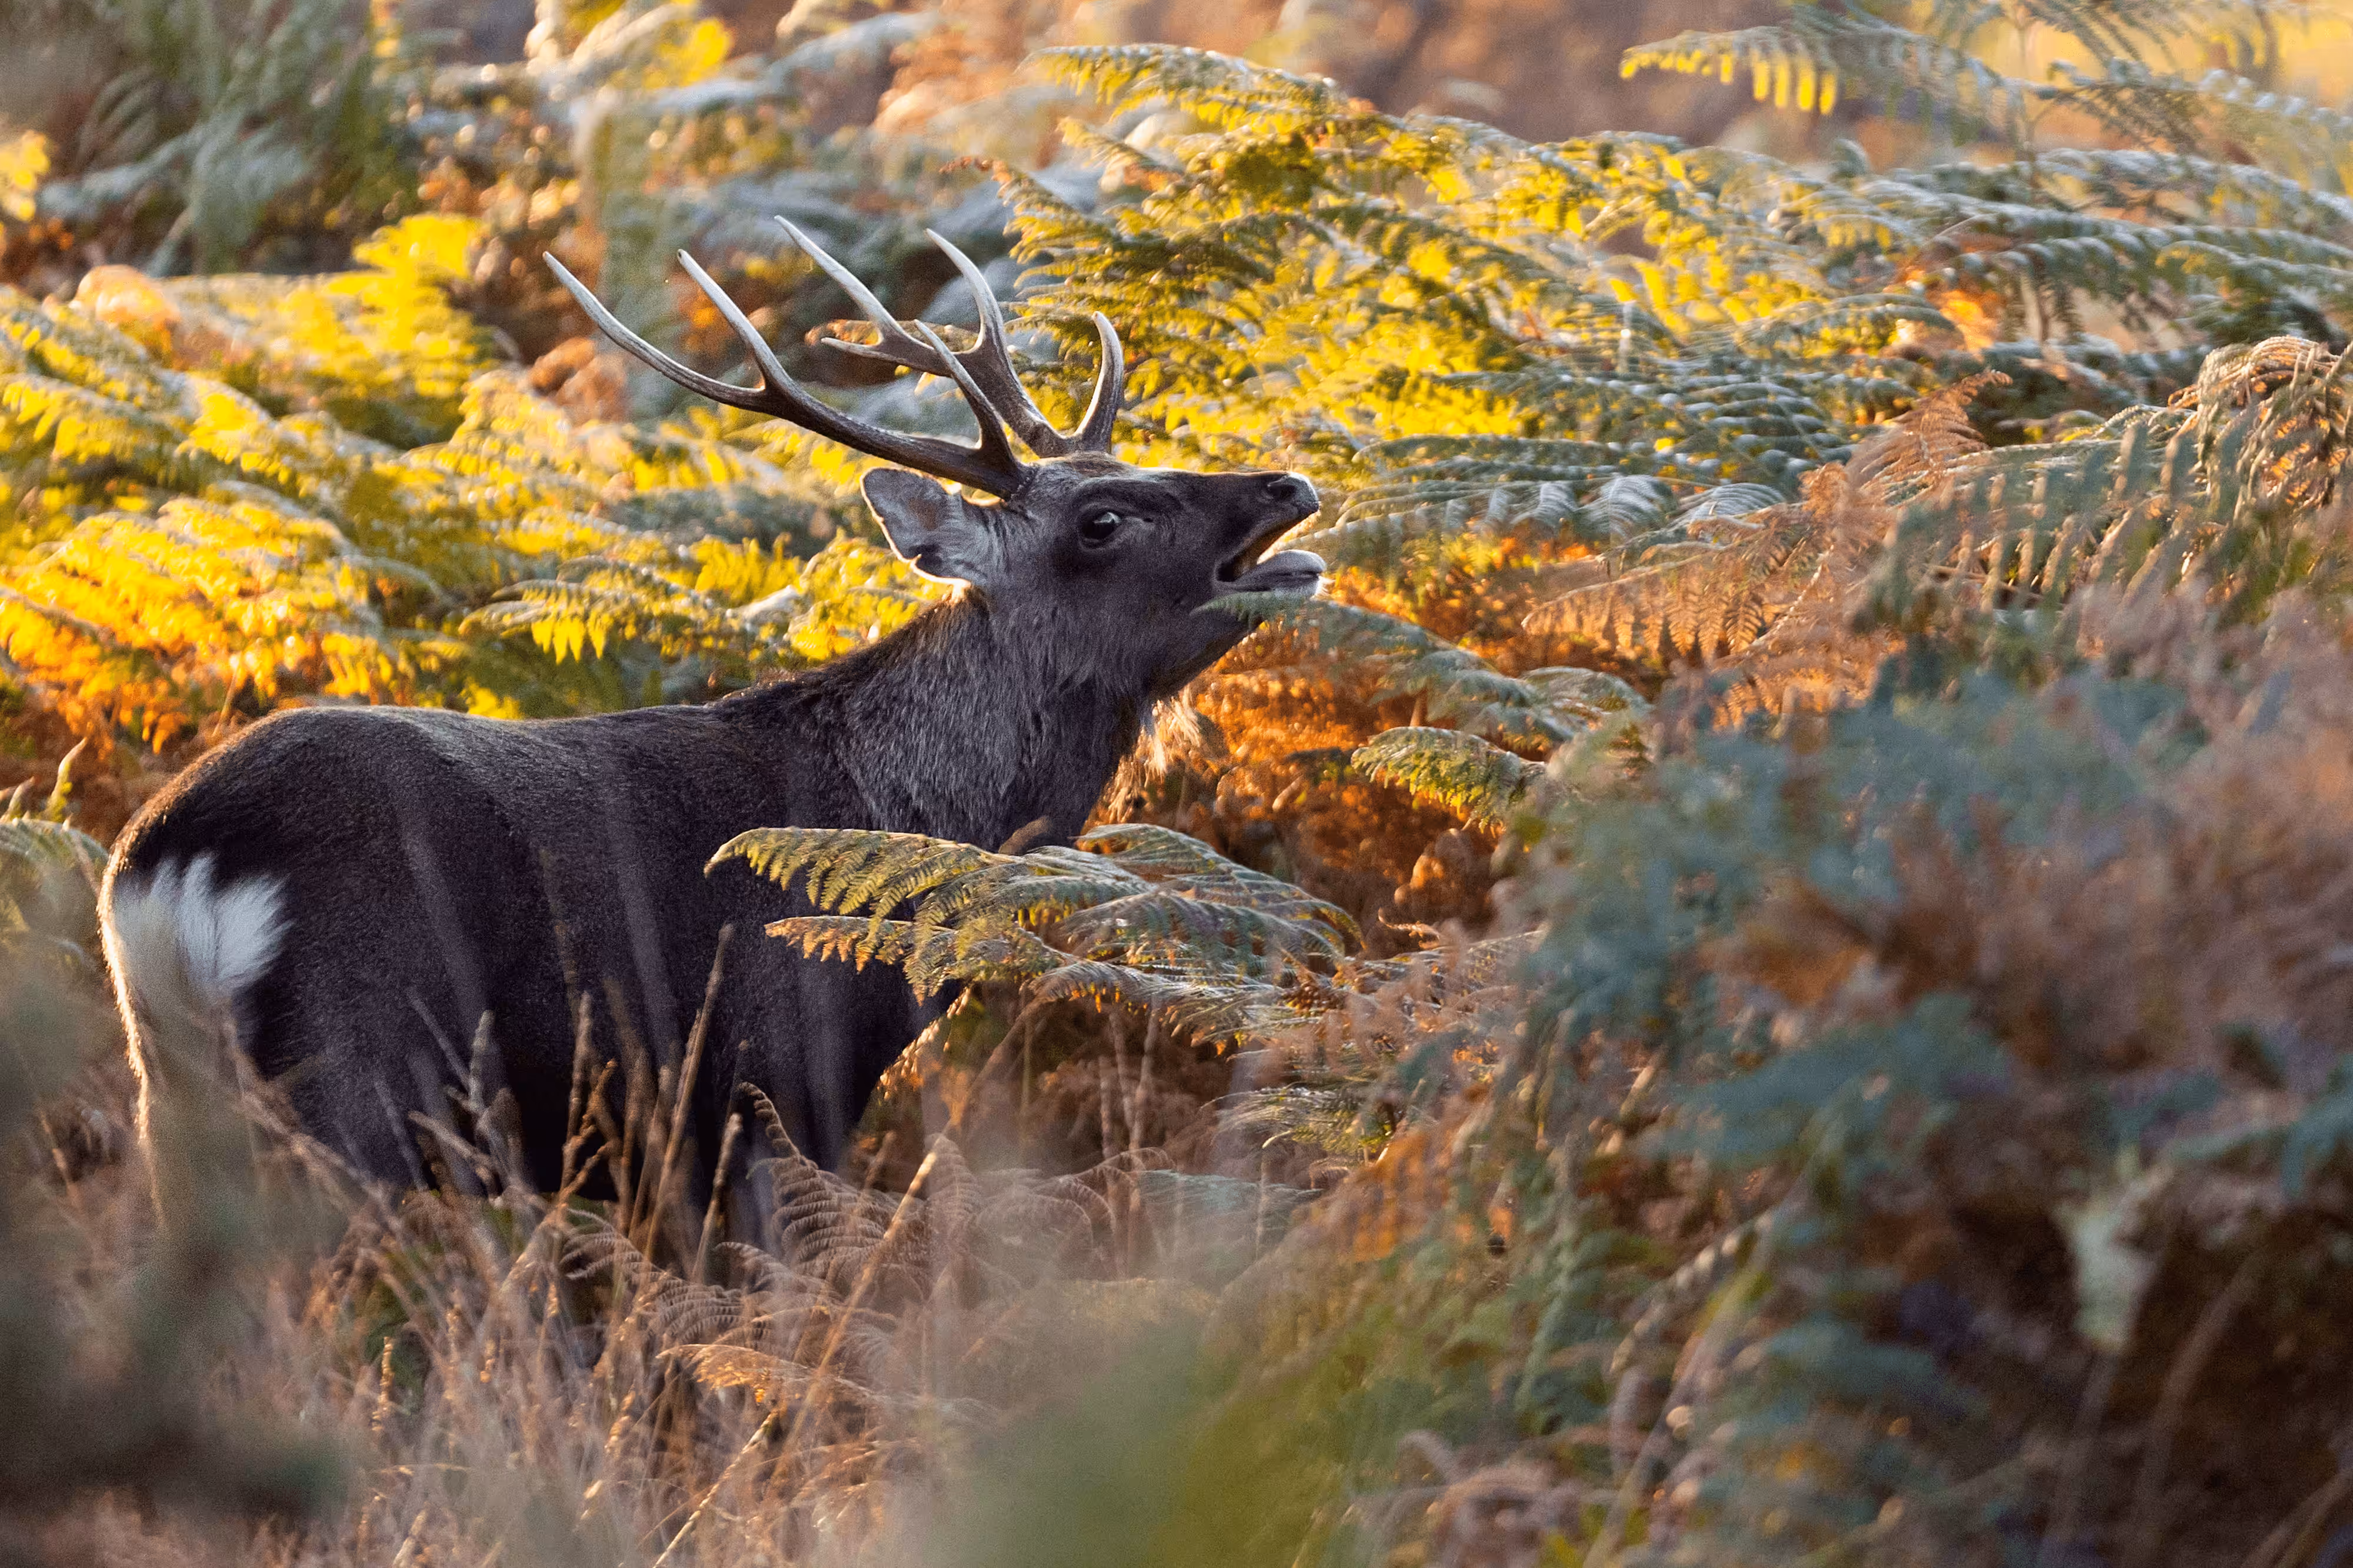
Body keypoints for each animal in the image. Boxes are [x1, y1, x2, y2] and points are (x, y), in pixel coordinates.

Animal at [100, 221, 1322, 1201]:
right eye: (1101, 520)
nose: (1287, 485)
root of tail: (172, 861)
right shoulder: (766, 1091)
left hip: (176, 1101)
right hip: (360, 1067)